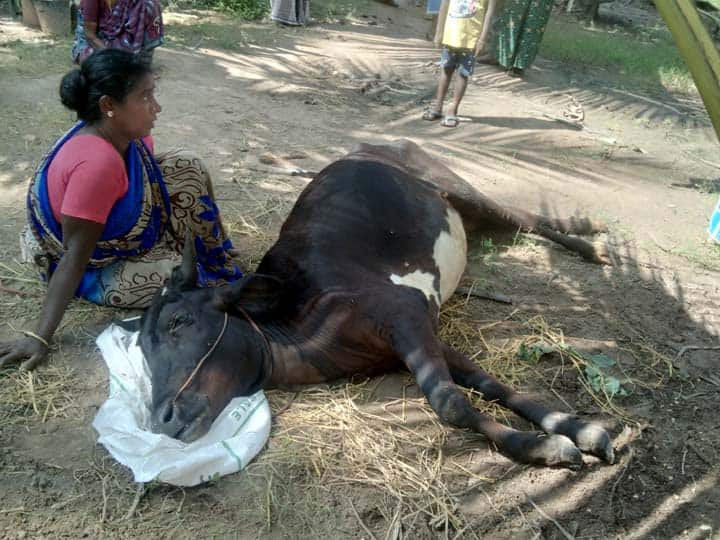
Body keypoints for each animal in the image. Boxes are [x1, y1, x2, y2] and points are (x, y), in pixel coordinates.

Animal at [139, 140, 612, 468]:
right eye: (142, 349)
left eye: (179, 321)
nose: (162, 418)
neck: (303, 322)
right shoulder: (416, 336)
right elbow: (489, 383)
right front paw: (569, 433)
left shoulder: (403, 314)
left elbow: (450, 402)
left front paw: (547, 443)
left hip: (455, 184)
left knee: (524, 218)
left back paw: (590, 238)